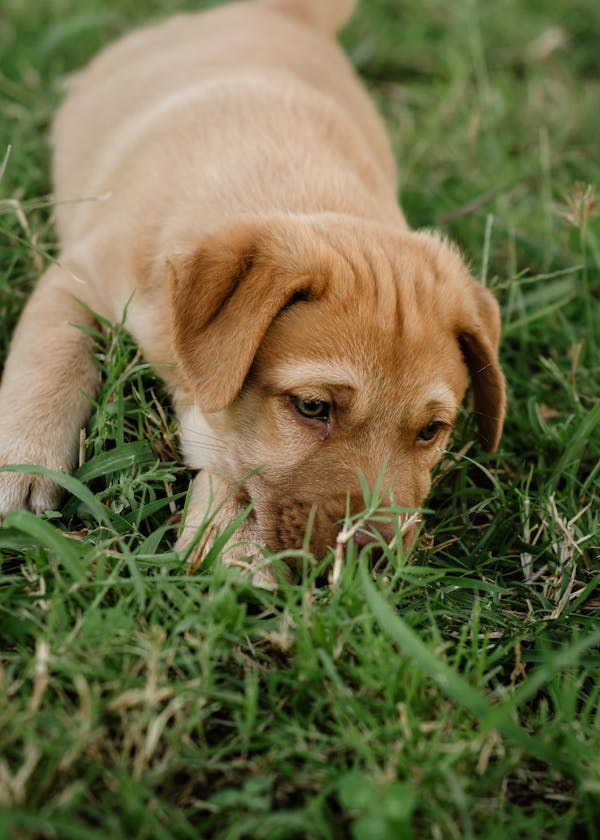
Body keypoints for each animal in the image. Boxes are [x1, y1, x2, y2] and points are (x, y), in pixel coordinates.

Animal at [0, 0, 506, 576]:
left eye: (431, 431)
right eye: (312, 407)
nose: (369, 560)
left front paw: (234, 545)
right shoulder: (77, 274)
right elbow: (49, 361)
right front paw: (24, 461)